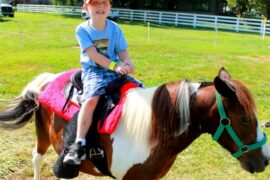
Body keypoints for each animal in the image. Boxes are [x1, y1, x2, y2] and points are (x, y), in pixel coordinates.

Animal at [0, 68, 270, 180]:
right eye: (245, 118)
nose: (265, 160)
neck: (154, 132)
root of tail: (48, 80)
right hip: (43, 138)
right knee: (37, 158)